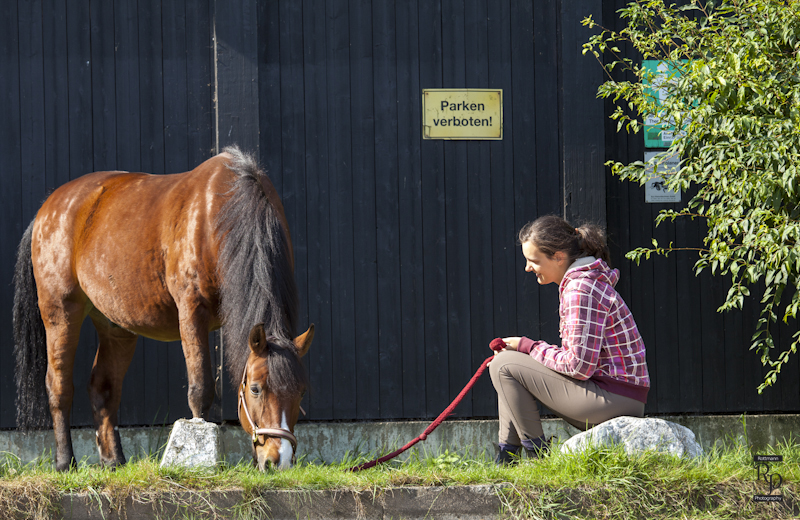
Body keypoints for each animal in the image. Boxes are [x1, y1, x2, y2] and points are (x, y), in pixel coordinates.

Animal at [12, 147, 314, 472]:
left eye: (302, 391)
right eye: (256, 388)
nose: (279, 460)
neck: (219, 216)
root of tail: (46, 209)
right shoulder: (192, 311)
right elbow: (200, 387)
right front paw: (196, 447)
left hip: (115, 325)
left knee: (103, 388)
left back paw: (114, 461)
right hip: (60, 311)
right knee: (58, 386)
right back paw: (65, 462)